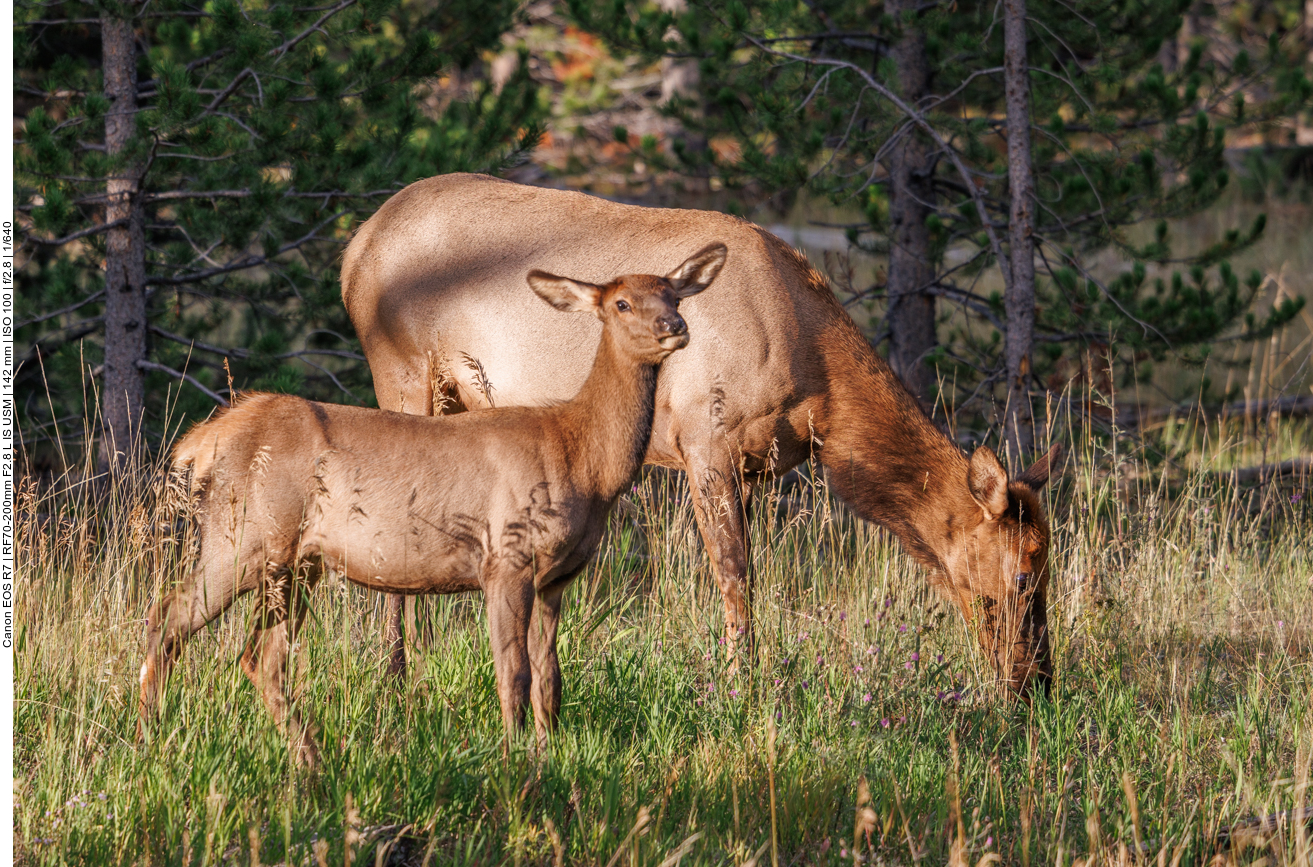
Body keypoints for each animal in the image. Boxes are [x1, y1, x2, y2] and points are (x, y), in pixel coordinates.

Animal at [141, 245, 730, 767]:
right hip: (247, 536)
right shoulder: (505, 556)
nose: (675, 325)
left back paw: (308, 759)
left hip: (296, 563)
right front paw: (516, 761)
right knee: (170, 616)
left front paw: (549, 755)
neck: (583, 458)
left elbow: (551, 678)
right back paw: (150, 731)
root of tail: (203, 442)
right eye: (622, 303)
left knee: (259, 659)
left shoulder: (558, 578)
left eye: (673, 292)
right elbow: (512, 672)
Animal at [344, 176, 1060, 698]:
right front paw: (743, 687)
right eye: (1024, 573)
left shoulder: (756, 465)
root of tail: (354, 247)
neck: (820, 397)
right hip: (402, 374)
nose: (1036, 682)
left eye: (1050, 561)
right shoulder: (705, 439)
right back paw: (393, 673)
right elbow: (735, 574)